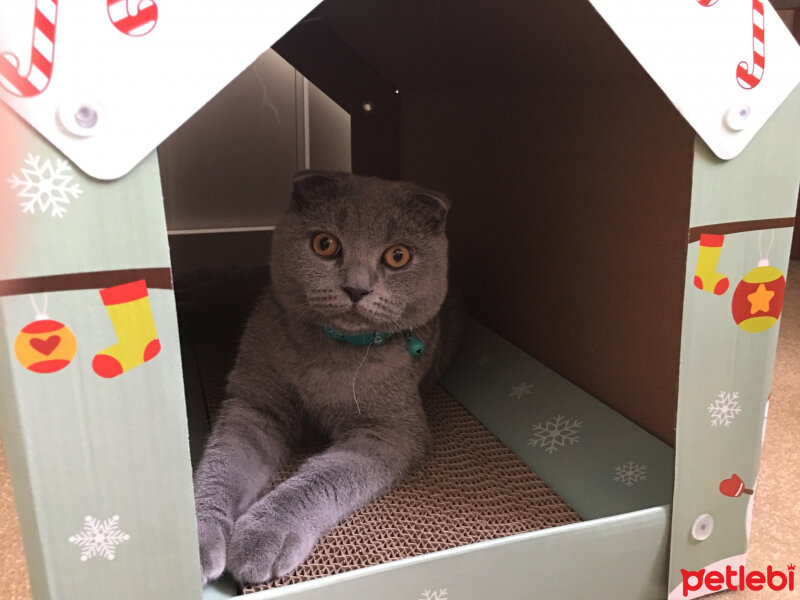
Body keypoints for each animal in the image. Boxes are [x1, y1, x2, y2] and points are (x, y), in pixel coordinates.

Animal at [191, 171, 460, 584]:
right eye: (325, 244)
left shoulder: (389, 431)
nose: (356, 288)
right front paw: (192, 537)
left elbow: (321, 478)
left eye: (398, 256)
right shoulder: (256, 403)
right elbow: (223, 464)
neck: (331, 357)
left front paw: (263, 533)